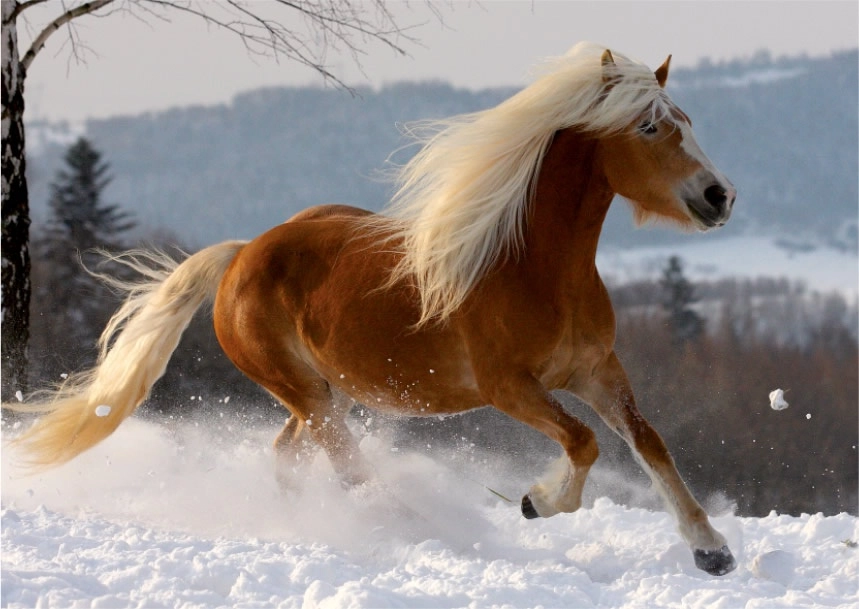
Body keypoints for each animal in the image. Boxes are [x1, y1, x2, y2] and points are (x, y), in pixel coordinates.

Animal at [8, 42, 740, 576]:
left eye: (687, 122)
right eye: (649, 126)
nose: (718, 196)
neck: (534, 266)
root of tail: (241, 256)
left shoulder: (595, 371)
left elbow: (647, 441)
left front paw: (712, 551)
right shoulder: (509, 387)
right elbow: (584, 441)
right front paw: (535, 501)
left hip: (316, 393)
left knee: (290, 454)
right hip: (308, 393)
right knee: (348, 466)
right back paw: (412, 530)